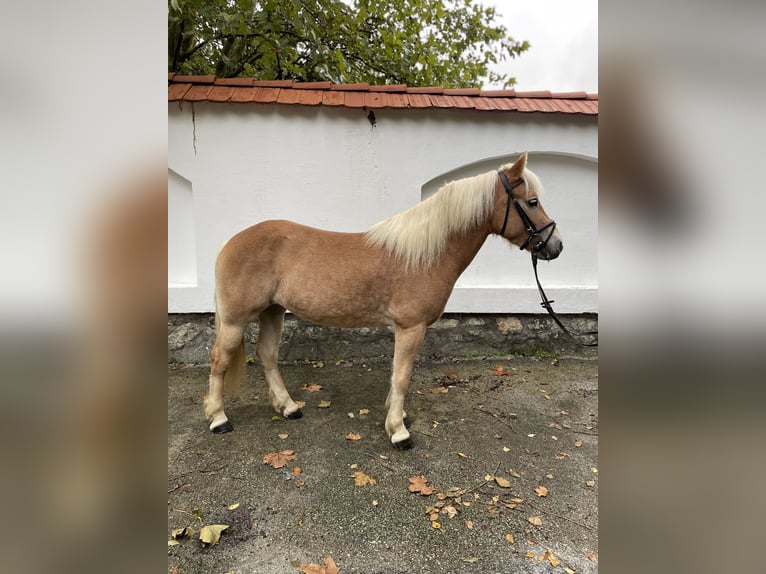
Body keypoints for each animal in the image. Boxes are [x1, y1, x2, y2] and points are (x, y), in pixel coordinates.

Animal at [204, 152, 564, 450]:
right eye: (532, 201)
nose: (555, 245)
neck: (424, 255)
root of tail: (229, 243)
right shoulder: (411, 327)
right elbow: (401, 377)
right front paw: (399, 433)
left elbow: (396, 375)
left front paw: (396, 419)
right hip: (236, 320)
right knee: (220, 359)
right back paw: (219, 418)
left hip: (273, 311)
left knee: (267, 355)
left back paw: (289, 407)